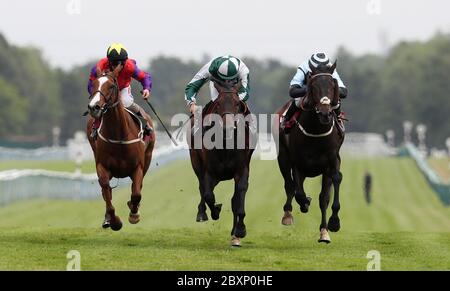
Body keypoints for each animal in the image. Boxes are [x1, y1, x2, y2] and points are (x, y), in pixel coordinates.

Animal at [87, 66, 156, 233]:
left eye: (111, 86)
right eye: (94, 84)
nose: (94, 107)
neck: (118, 134)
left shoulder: (138, 167)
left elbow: (136, 192)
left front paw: (134, 214)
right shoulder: (102, 167)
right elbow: (106, 191)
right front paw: (113, 221)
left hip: (148, 158)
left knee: (137, 187)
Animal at [188, 81, 255, 248]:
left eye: (237, 103)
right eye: (218, 103)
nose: (228, 127)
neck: (225, 145)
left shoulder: (242, 170)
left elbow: (238, 199)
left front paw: (240, 230)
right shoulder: (210, 172)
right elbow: (208, 195)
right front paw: (215, 211)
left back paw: (234, 235)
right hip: (197, 164)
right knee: (202, 188)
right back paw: (202, 213)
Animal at [274, 62, 344, 244]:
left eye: (333, 85)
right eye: (313, 86)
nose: (325, 114)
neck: (316, 131)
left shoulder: (331, 161)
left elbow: (327, 194)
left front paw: (330, 226)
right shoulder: (297, 163)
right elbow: (298, 191)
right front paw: (305, 203)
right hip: (283, 157)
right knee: (289, 184)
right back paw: (288, 213)